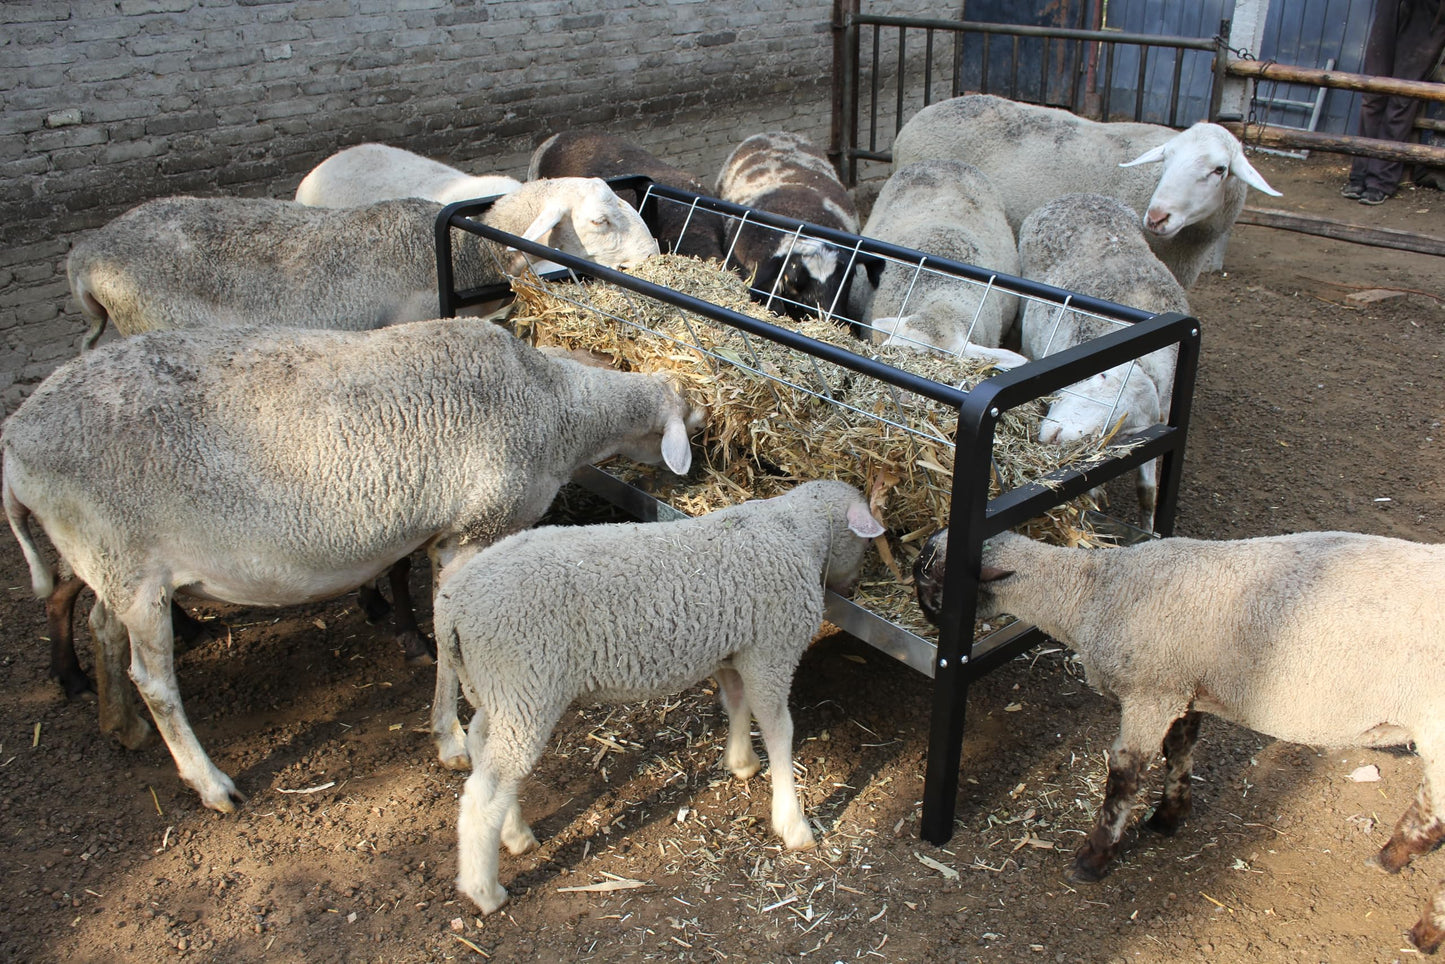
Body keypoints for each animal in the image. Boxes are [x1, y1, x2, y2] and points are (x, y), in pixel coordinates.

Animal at [2, 318, 701, 813]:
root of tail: (14, 444)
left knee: (101, 625)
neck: (553, 408)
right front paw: (450, 739)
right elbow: (448, 640)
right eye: (693, 418)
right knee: (154, 679)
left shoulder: (445, 538)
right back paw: (211, 784)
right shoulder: (472, 531)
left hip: (110, 557)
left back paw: (117, 723)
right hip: (128, 559)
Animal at [429, 479, 886, 914]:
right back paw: (485, 890)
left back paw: (516, 834)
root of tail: (451, 609)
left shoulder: (731, 649)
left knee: (483, 749)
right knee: (486, 791)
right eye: (864, 542)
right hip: (524, 683)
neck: (792, 529)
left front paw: (740, 762)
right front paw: (793, 823)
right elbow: (779, 730)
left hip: (496, 688)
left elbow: (736, 703)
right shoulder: (771, 651)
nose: (855, 585)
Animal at [911, 527, 1445, 954]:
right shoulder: (1182, 688)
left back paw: (1424, 932)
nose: (927, 619)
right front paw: (1170, 816)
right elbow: (1181, 749)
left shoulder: (1151, 690)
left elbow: (1123, 777)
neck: (1090, 590)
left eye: (926, 573)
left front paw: (1094, 858)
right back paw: (1393, 855)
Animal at [1017, 193, 1190, 525]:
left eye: (1119, 425)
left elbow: (1148, 491)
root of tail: (1079, 196)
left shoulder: (1152, 426)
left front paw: (1148, 526)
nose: (1057, 437)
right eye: (1103, 375)